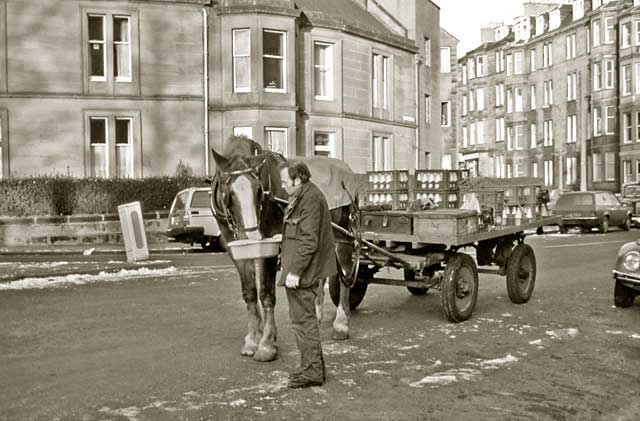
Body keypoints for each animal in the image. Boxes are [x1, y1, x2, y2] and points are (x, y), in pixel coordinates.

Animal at [211, 135, 358, 360]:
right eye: (229, 192)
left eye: (259, 190)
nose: (252, 237)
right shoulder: (234, 249)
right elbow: (250, 293)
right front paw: (252, 338)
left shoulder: (270, 246)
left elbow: (266, 294)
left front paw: (267, 343)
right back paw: (316, 314)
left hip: (343, 235)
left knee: (344, 274)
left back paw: (341, 323)